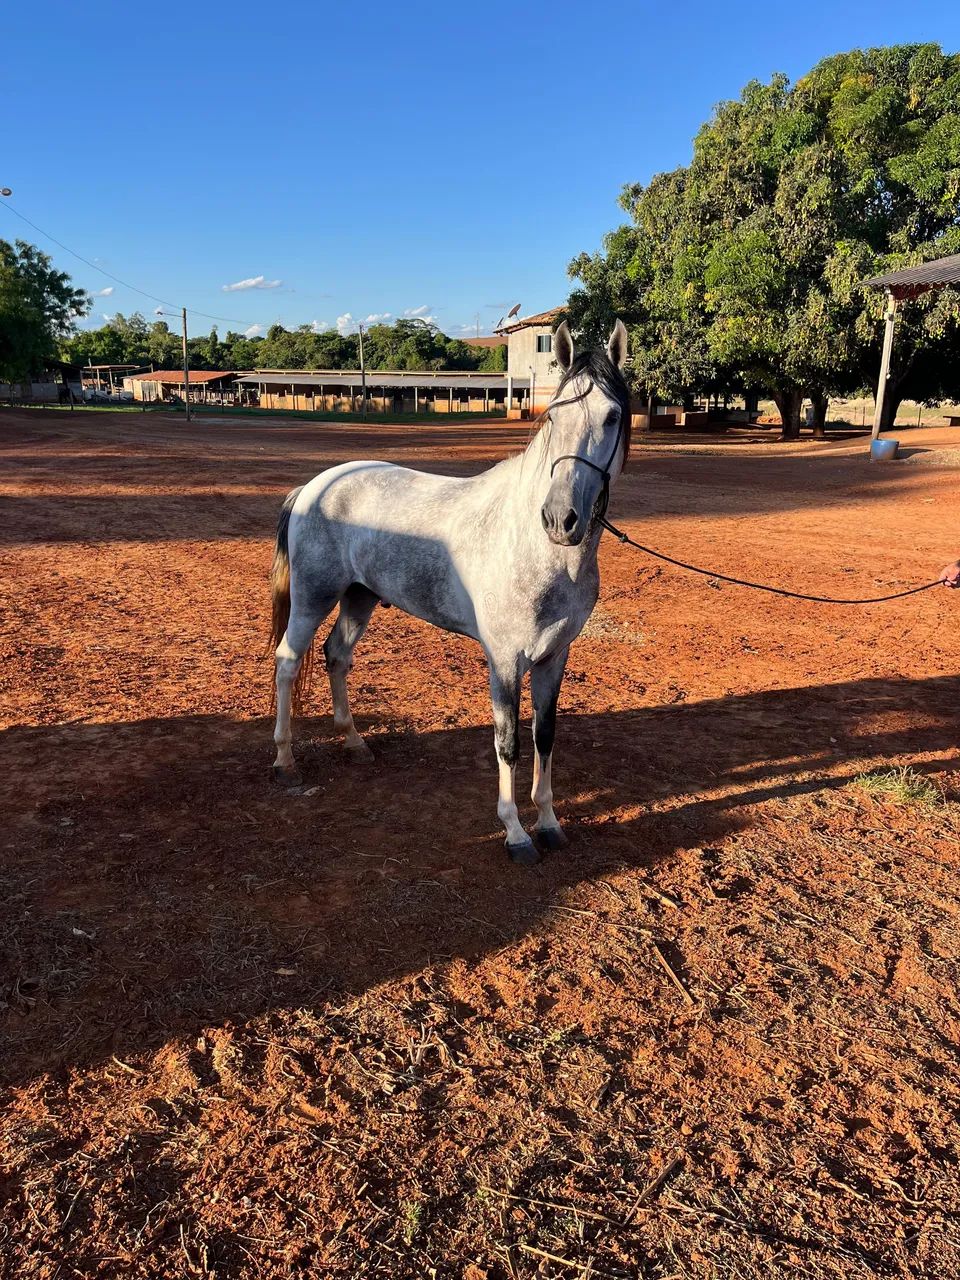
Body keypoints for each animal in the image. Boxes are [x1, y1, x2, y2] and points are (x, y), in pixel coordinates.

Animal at [268, 319, 631, 865]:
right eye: (552, 418)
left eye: (611, 416)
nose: (561, 519)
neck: (535, 548)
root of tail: (316, 485)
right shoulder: (505, 661)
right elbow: (508, 743)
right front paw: (516, 833)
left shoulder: (554, 657)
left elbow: (544, 736)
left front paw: (548, 823)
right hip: (314, 598)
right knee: (289, 661)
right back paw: (285, 758)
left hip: (360, 597)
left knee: (336, 656)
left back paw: (354, 742)